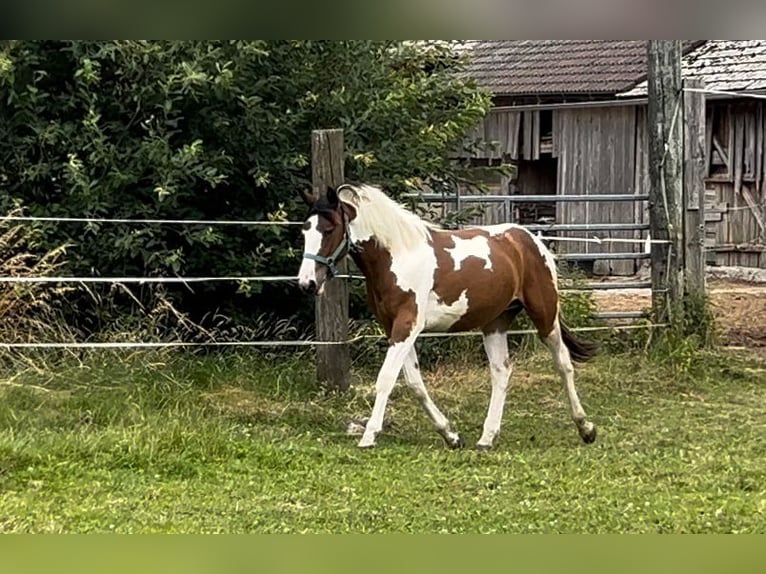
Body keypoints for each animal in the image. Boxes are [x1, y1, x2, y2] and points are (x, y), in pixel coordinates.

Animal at [298, 184, 600, 450]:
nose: (307, 283)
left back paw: (586, 428)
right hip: (495, 322)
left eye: (328, 230)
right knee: (501, 371)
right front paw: (451, 436)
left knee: (563, 363)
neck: (397, 256)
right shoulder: (394, 328)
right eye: (305, 231)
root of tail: (530, 239)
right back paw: (486, 438)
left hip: (544, 314)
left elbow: (386, 379)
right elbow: (414, 383)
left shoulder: (407, 325)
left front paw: (369, 436)